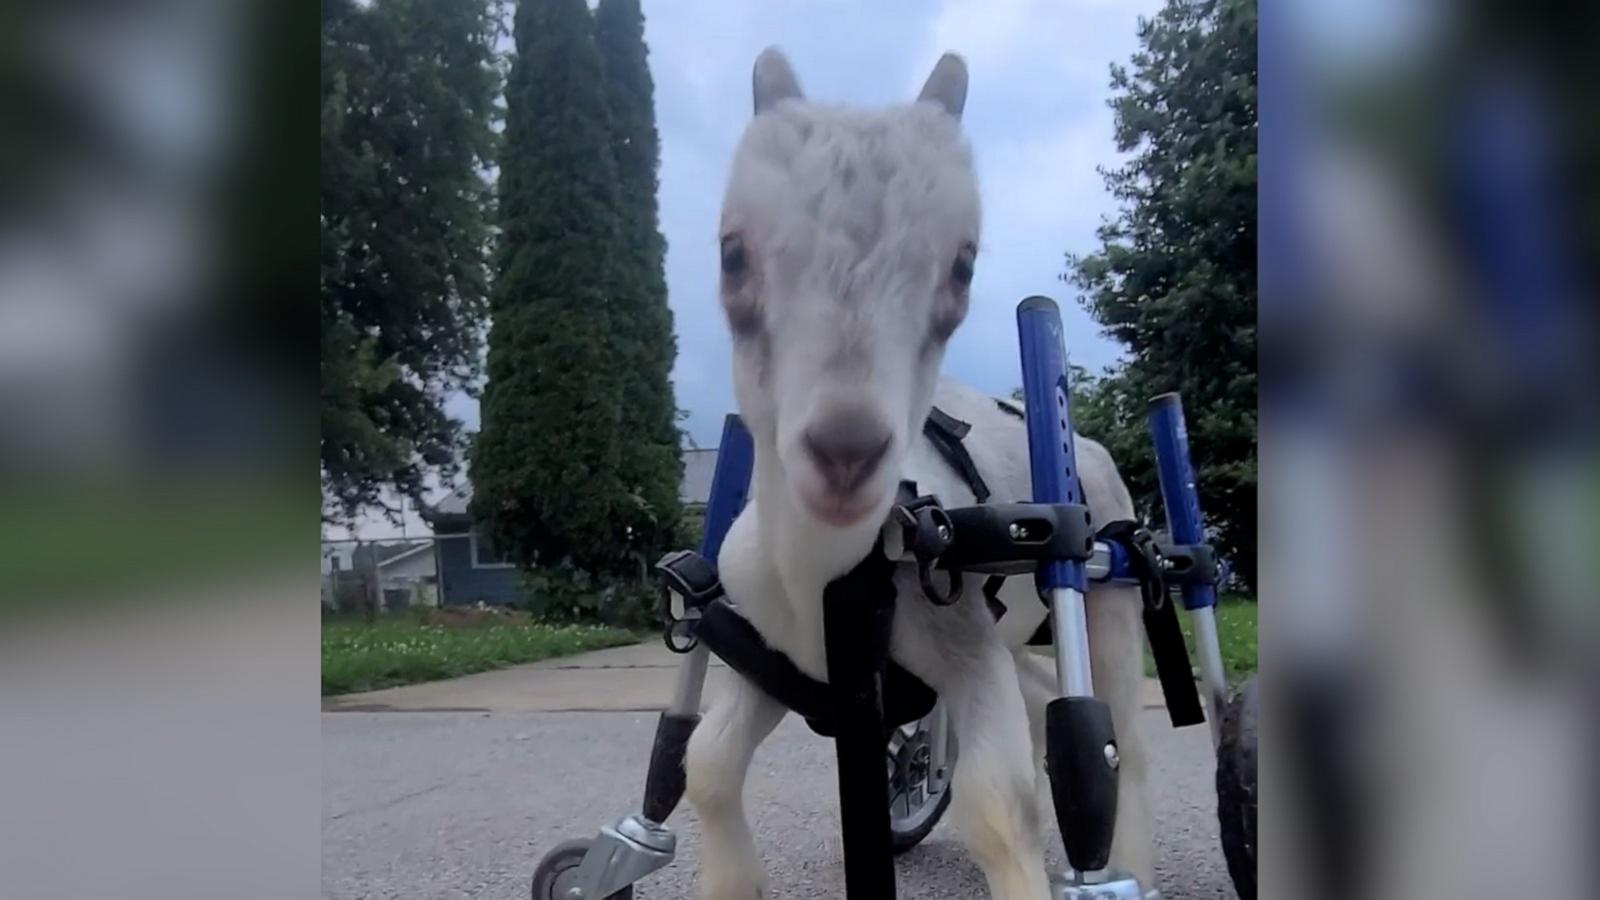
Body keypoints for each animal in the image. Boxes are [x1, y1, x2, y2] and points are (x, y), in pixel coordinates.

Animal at [681, 50, 1158, 896]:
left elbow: (999, 806)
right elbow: (706, 763)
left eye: (962, 266)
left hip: (1110, 580)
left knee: (1125, 742)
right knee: (1046, 699)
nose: (844, 452)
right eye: (732, 252)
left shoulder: (963, 645)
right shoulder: (771, 658)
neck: (834, 582)